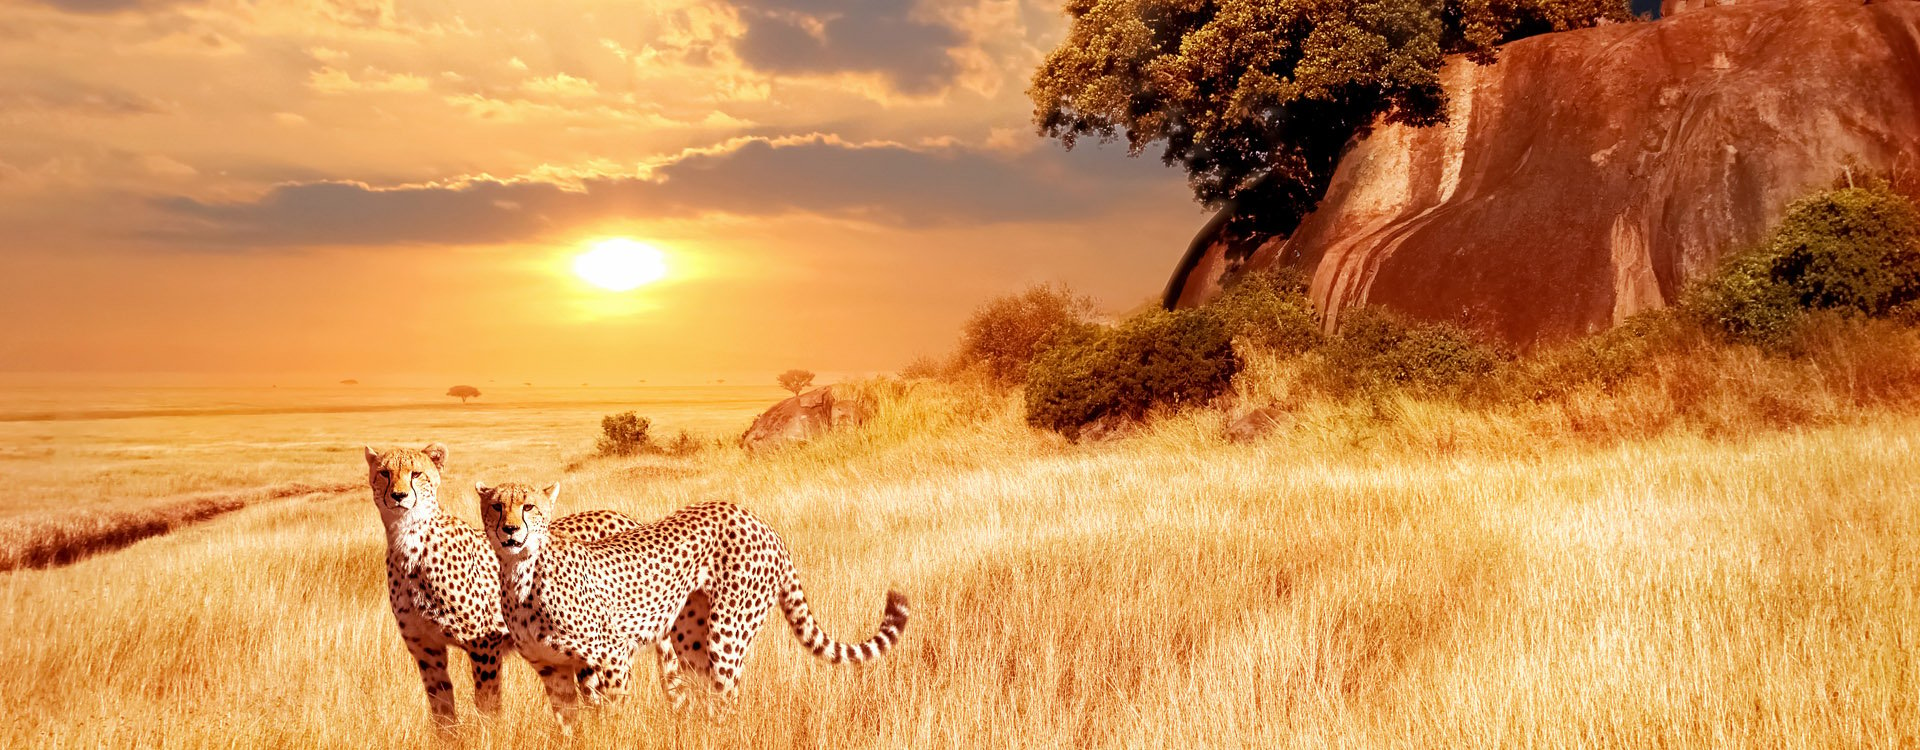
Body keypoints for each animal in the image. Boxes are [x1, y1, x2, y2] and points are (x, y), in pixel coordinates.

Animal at [362, 443, 718, 725]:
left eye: (416, 473)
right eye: (384, 473)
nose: (398, 496)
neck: (408, 543)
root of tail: (625, 518)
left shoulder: (484, 643)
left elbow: (488, 703)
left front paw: (489, 735)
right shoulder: (426, 648)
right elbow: (441, 710)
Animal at [472, 481, 906, 732]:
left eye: (528, 506)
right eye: (496, 506)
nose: (509, 530)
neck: (520, 572)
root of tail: (757, 520)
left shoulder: (612, 655)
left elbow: (614, 718)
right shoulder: (553, 669)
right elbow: (570, 726)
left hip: (728, 632)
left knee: (726, 701)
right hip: (689, 637)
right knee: (700, 694)